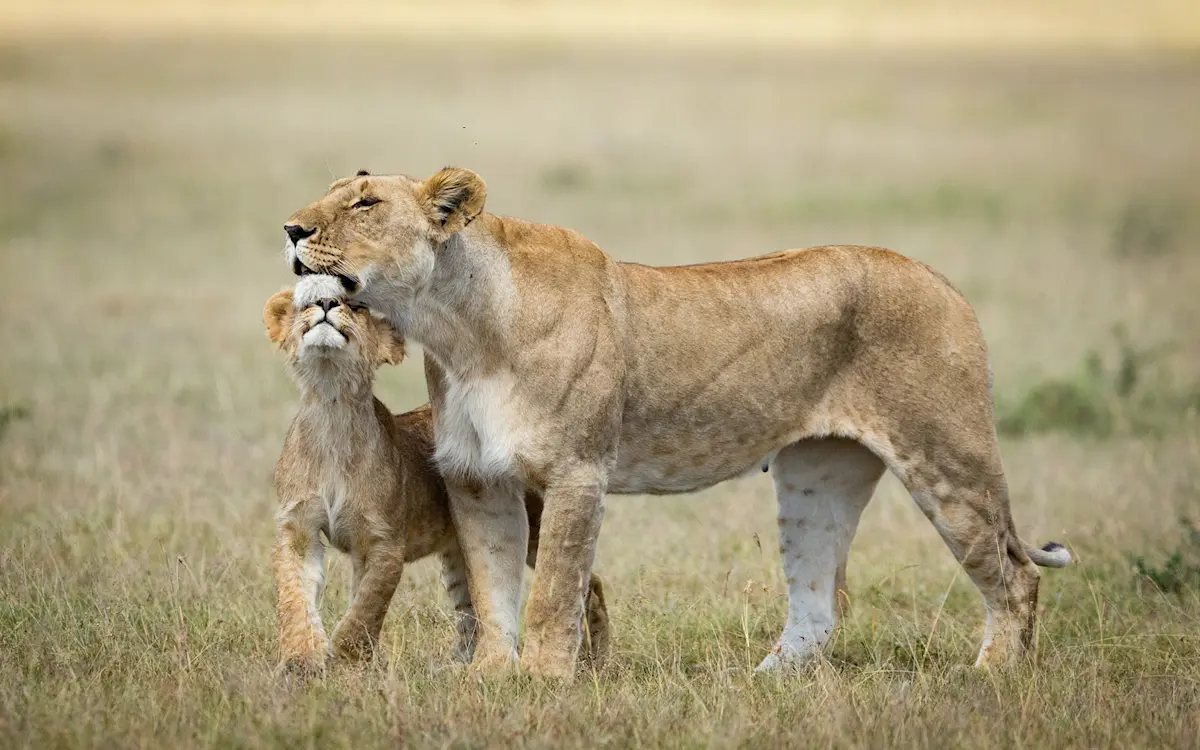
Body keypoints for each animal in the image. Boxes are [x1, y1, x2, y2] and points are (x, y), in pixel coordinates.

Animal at [264, 289, 609, 674]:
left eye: (355, 306)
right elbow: (294, 598)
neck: (331, 407)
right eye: (307, 301)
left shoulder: (385, 542)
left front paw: (347, 658)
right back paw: (455, 667)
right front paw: (301, 660)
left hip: (534, 527)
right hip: (461, 549)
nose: (325, 304)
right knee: (471, 609)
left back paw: (594, 660)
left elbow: (365, 608)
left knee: (587, 582)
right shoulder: (299, 529)